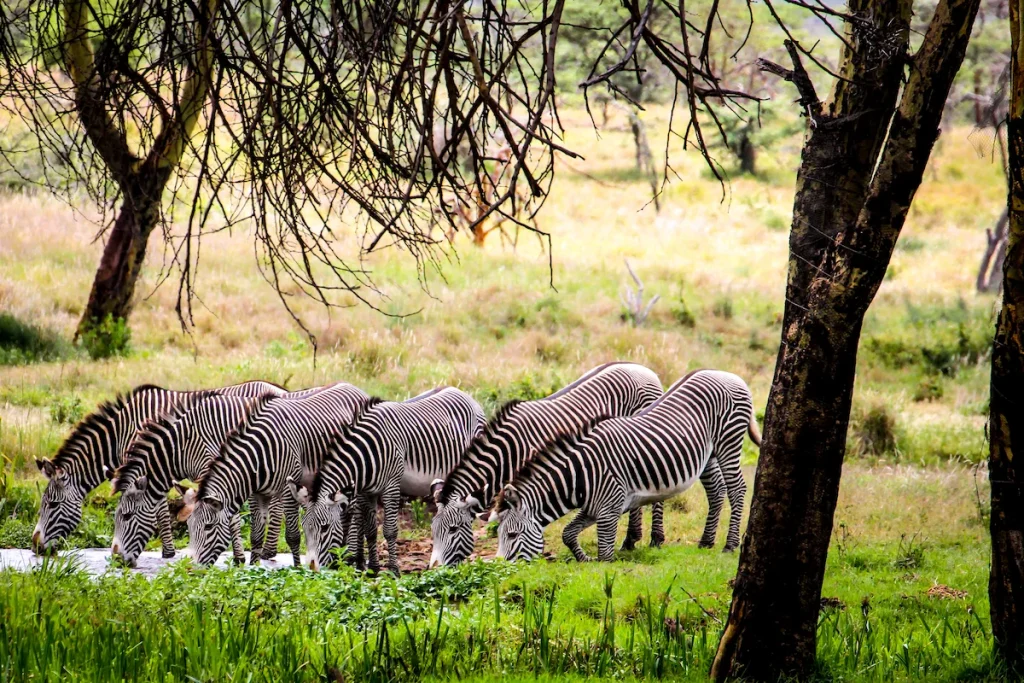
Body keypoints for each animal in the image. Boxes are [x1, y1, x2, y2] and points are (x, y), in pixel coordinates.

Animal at [32, 380, 286, 555]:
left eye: (52, 504)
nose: (35, 546)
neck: (122, 431)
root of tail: (279, 389)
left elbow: (161, 510)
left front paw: (169, 551)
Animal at [182, 382, 372, 566]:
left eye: (208, 526)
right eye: (189, 525)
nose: (192, 569)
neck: (259, 454)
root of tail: (355, 388)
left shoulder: (289, 490)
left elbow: (293, 536)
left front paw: (298, 569)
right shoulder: (258, 493)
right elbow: (256, 535)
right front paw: (253, 568)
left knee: (355, 514)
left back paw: (352, 559)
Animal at [298, 387, 485, 575]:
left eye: (324, 527)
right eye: (304, 529)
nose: (314, 570)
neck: (366, 455)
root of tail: (461, 392)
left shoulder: (391, 486)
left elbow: (389, 530)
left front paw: (393, 569)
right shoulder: (366, 492)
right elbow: (371, 529)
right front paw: (373, 569)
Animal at [428, 362, 664, 567]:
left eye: (453, 529)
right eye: (433, 531)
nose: (435, 568)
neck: (508, 452)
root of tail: (643, 368)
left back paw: (656, 539)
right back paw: (630, 540)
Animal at [495, 369, 759, 563]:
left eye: (512, 534)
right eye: (498, 534)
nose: (499, 568)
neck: (581, 475)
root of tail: (729, 374)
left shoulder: (609, 510)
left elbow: (605, 556)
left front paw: (600, 561)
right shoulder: (594, 508)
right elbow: (567, 534)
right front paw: (584, 559)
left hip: (729, 442)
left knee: (737, 489)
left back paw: (730, 545)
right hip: (710, 454)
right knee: (717, 490)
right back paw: (706, 541)